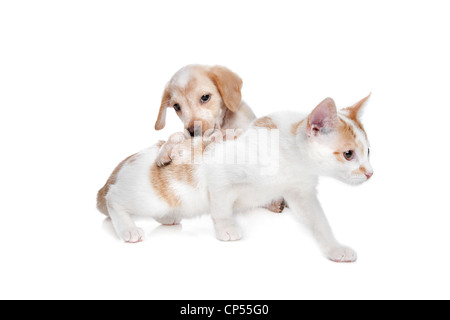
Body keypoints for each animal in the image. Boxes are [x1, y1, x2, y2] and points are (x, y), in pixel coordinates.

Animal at [97, 94, 372, 262]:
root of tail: (124, 163)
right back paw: (128, 228)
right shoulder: (219, 174)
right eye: (348, 154)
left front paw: (334, 248)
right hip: (146, 196)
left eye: (368, 152)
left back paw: (167, 218)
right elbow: (220, 206)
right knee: (113, 199)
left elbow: (319, 222)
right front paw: (227, 229)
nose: (370, 173)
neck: (289, 156)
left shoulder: (300, 193)